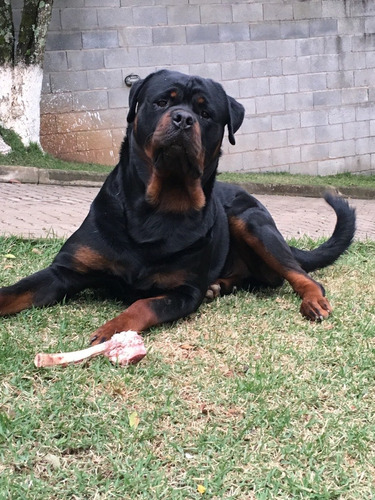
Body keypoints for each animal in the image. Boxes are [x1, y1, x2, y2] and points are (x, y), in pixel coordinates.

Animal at [0, 69, 356, 344]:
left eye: (206, 113)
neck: (157, 208)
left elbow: (142, 305)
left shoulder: (184, 291)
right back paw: (219, 285)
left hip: (251, 221)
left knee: (302, 276)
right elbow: (17, 290)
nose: (184, 119)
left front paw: (115, 330)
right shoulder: (64, 272)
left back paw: (312, 300)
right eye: (162, 101)